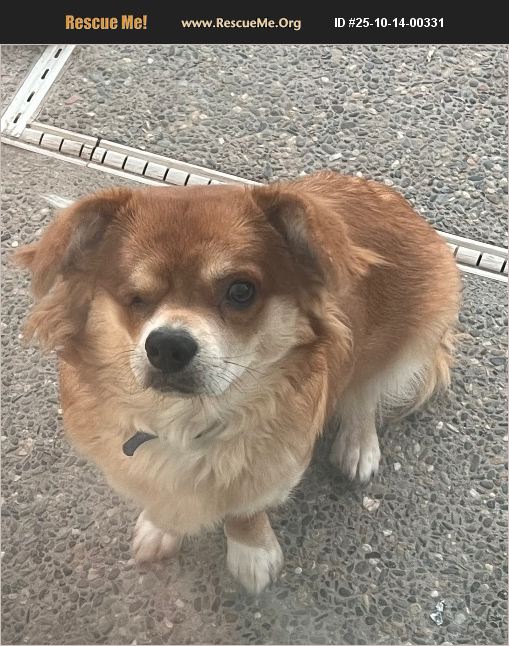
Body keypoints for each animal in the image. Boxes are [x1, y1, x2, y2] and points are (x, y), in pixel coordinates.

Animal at [15, 171, 460, 593]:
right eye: (134, 296)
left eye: (241, 291)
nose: (167, 346)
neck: (187, 424)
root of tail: (398, 203)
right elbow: (162, 498)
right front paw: (162, 526)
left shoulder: (271, 467)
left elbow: (245, 511)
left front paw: (252, 553)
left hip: (407, 338)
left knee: (365, 391)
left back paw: (358, 443)